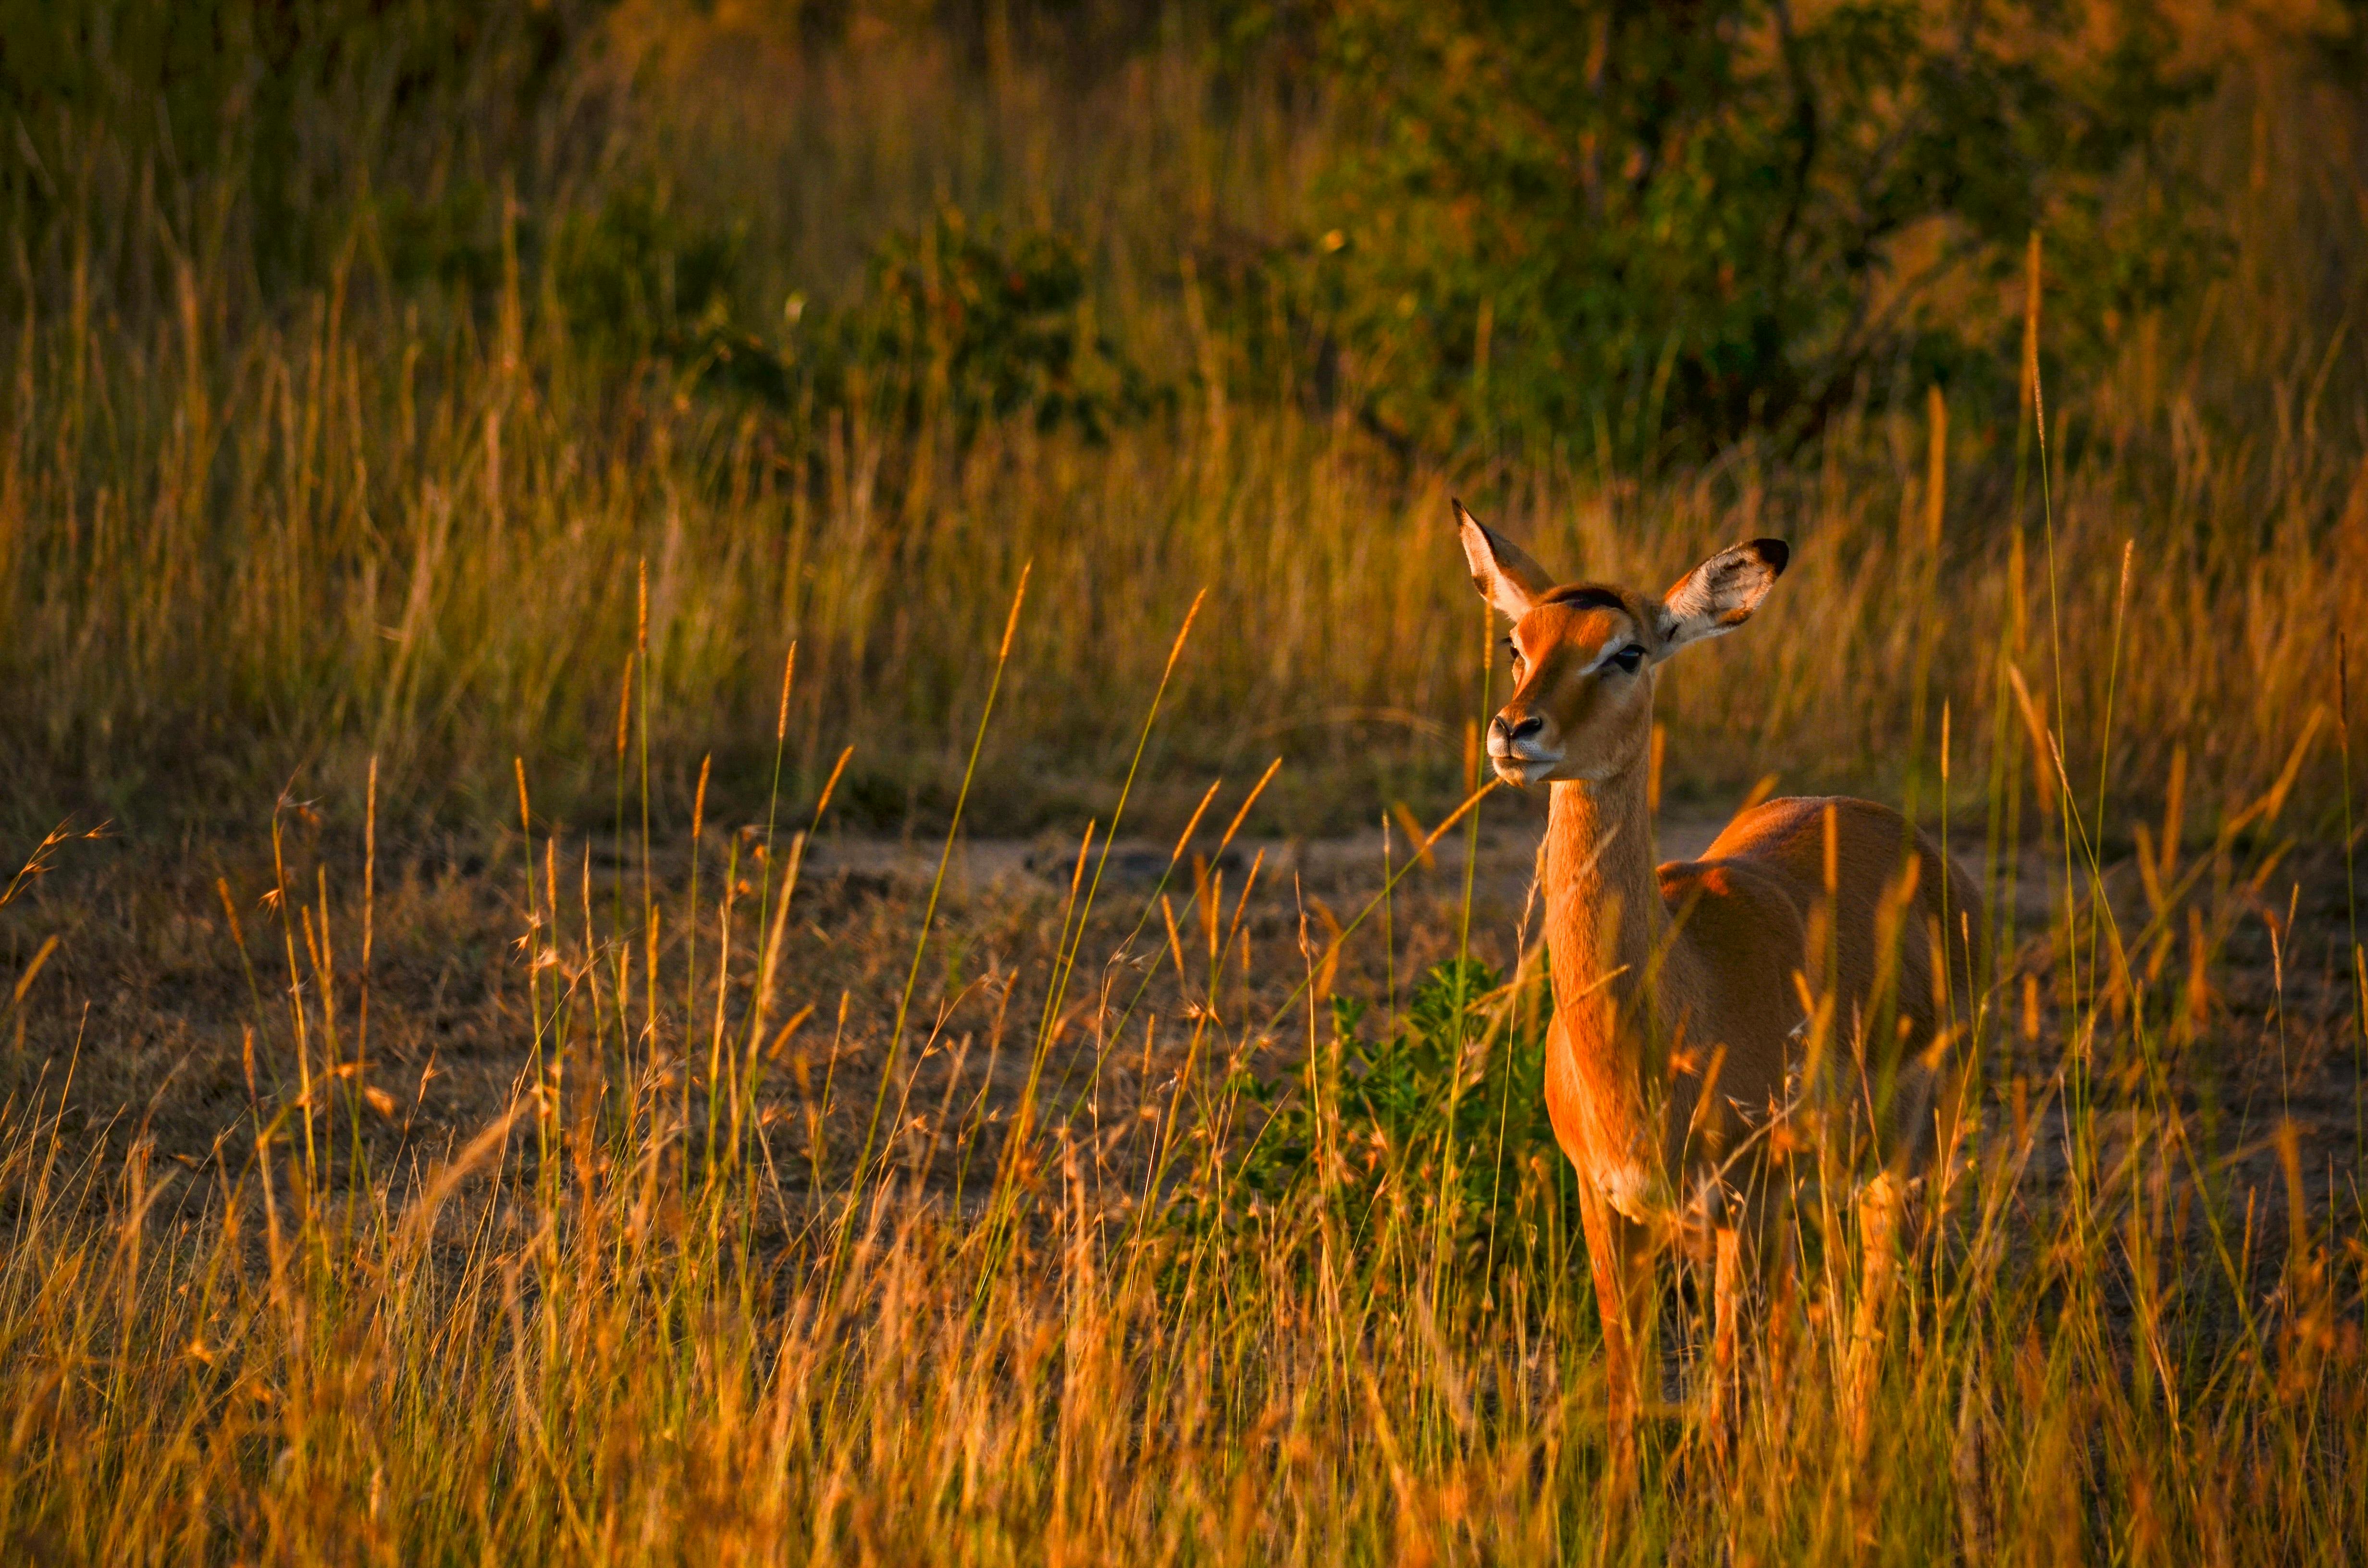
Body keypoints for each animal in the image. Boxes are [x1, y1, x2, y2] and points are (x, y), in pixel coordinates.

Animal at [1453, 502, 1981, 1456]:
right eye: (1518, 642)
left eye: (1625, 651)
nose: (1515, 731)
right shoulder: (1608, 1208)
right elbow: (1630, 1394)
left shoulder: (1747, 1205)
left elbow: (1729, 1406)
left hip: (1906, 1165)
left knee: (1875, 1332)